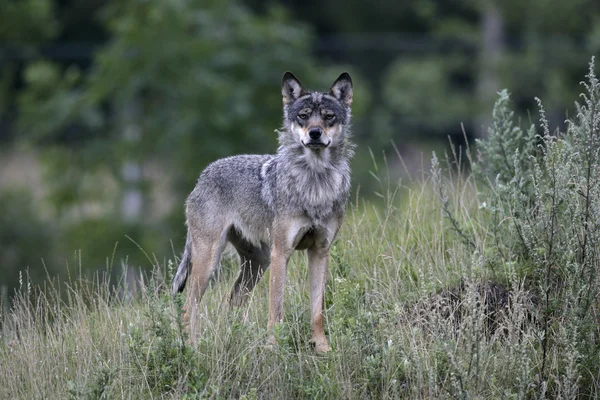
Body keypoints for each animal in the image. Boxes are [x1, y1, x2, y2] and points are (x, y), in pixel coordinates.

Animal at [171, 71, 354, 354]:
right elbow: (275, 311)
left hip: (258, 263)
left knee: (233, 298)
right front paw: (273, 349)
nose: (314, 133)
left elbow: (317, 311)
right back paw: (193, 349)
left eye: (328, 116)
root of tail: (203, 175)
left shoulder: (320, 251)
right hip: (210, 261)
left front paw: (322, 348)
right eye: (303, 116)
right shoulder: (282, 253)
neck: (314, 183)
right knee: (189, 306)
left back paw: (237, 340)